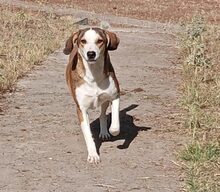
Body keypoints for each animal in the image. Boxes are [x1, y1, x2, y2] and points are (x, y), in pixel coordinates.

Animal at [62, 27, 121, 164]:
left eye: (99, 41)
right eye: (83, 41)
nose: (91, 54)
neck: (94, 74)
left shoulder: (115, 96)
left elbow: (115, 123)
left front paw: (113, 130)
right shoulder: (81, 110)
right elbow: (88, 134)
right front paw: (93, 155)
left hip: (104, 100)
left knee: (102, 114)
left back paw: (104, 132)